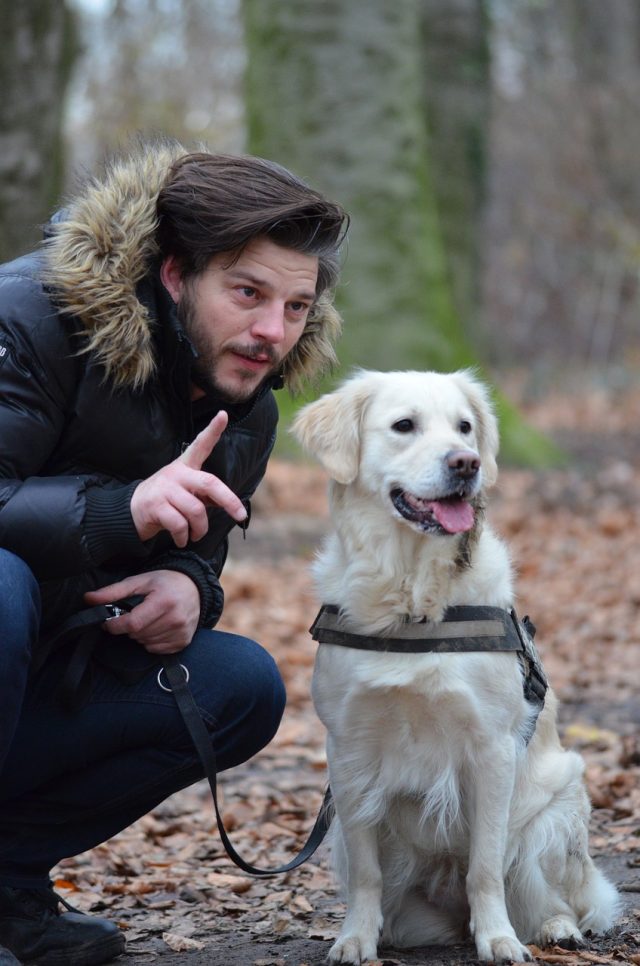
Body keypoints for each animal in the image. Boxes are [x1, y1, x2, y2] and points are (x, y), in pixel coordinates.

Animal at [294, 372, 620, 966]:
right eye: (404, 425)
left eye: (465, 427)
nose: (466, 463)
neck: (412, 601)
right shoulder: (348, 753)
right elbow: (368, 875)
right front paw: (355, 938)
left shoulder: (491, 749)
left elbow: (485, 867)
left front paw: (498, 939)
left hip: (553, 816)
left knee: (555, 898)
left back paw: (556, 928)